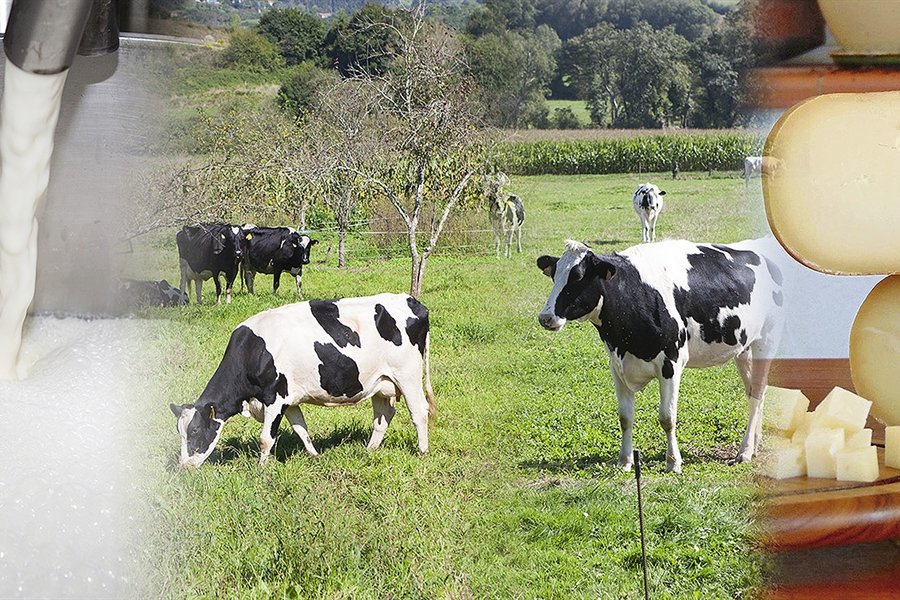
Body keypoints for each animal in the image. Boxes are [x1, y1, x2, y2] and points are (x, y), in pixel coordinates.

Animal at [171, 292, 436, 466]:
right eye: (180, 432)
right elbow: (301, 429)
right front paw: (314, 455)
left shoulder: (275, 397)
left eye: (195, 430)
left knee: (419, 412)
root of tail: (411, 300)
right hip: (380, 382)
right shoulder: (289, 399)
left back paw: (423, 452)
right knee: (383, 417)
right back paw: (369, 450)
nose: (184, 467)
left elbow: (266, 439)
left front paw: (261, 469)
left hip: (408, 374)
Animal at [536, 237, 784, 472]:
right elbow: (625, 418)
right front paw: (625, 461)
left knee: (757, 394)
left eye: (578, 277)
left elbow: (667, 417)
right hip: (743, 347)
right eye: (554, 275)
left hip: (766, 340)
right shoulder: (617, 366)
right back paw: (754, 444)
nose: (545, 317)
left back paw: (745, 451)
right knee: (754, 391)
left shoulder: (670, 363)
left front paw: (673, 462)